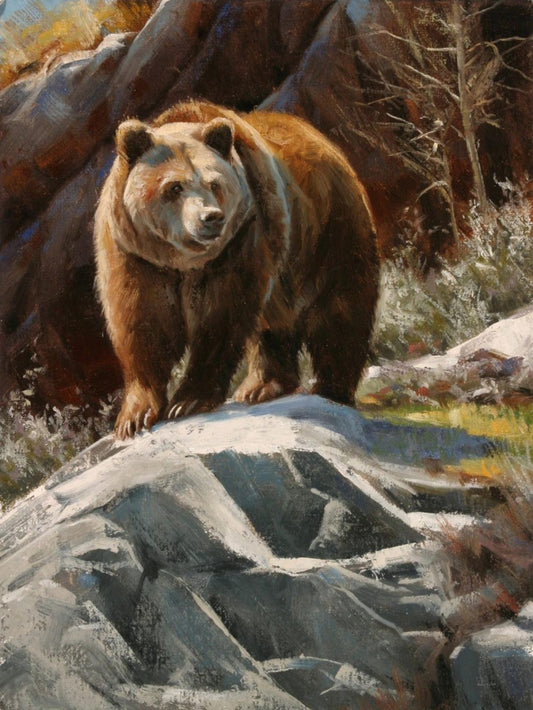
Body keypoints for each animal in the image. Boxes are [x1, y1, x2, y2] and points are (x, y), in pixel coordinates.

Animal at [94, 100, 380, 439]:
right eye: (174, 186)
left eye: (214, 183)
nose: (211, 217)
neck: (183, 260)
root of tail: (325, 143)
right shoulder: (135, 253)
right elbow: (142, 321)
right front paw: (134, 417)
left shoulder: (242, 238)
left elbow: (221, 316)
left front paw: (188, 401)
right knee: (274, 325)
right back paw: (263, 386)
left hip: (329, 233)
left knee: (340, 311)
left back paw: (331, 389)